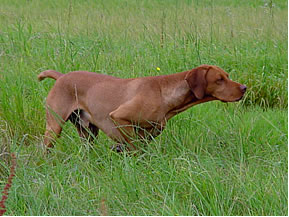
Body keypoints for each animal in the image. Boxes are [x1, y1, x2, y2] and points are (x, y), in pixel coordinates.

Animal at [38, 64, 245, 151]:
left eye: (227, 76)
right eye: (219, 79)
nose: (244, 88)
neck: (163, 93)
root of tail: (62, 76)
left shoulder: (153, 130)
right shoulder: (119, 117)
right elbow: (134, 146)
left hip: (88, 133)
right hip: (54, 128)